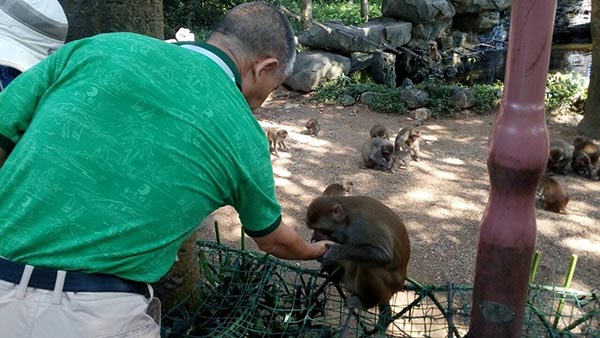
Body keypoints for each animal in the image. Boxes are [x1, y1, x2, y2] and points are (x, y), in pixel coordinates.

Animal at [308, 195, 410, 336]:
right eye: (313, 229)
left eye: (319, 229)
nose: (315, 236)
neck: (347, 218)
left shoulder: (361, 223)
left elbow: (384, 254)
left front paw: (335, 251)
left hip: (392, 284)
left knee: (369, 265)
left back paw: (365, 302)